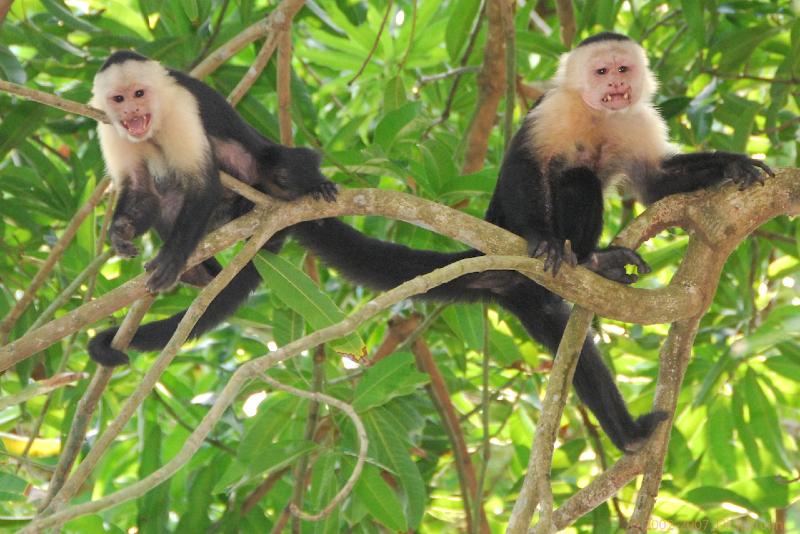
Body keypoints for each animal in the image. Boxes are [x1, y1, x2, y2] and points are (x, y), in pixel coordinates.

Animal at [86, 50, 336, 368]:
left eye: (139, 93)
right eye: (119, 98)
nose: (131, 111)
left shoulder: (181, 107)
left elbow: (203, 184)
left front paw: (172, 259)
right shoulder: (110, 129)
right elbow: (142, 189)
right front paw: (121, 231)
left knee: (280, 165)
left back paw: (313, 185)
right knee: (168, 200)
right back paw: (200, 273)